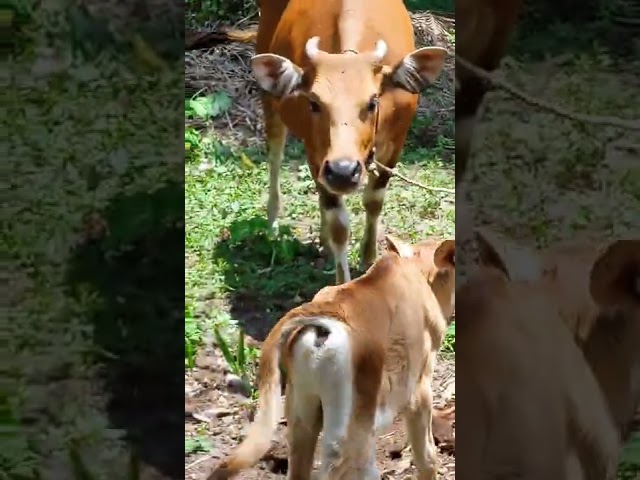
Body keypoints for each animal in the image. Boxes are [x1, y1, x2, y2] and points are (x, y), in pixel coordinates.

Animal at [248, 0, 448, 284]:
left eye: (373, 102)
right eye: (314, 103)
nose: (343, 171)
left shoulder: (396, 143)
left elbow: (374, 200)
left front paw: (368, 257)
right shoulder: (317, 154)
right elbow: (339, 224)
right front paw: (342, 282)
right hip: (270, 95)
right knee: (275, 153)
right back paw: (274, 222)